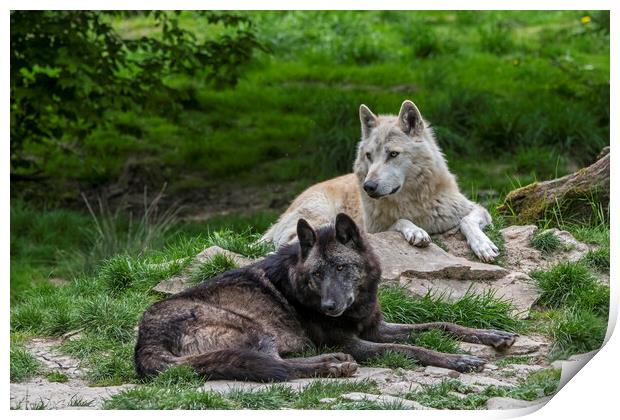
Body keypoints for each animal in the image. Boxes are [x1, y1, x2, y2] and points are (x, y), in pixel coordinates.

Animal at [136, 213, 520, 380]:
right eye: (317, 274)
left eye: (340, 267)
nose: (329, 307)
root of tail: (143, 344)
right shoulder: (355, 342)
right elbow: (412, 348)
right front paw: (459, 360)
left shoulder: (375, 328)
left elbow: (439, 324)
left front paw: (493, 335)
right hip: (255, 329)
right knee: (276, 366)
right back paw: (333, 365)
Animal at [262, 99, 498, 260]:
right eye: (369, 156)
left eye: (393, 154)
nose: (368, 186)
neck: (413, 203)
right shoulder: (372, 230)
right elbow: (399, 221)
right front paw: (416, 231)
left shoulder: (475, 209)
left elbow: (467, 221)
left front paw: (483, 245)